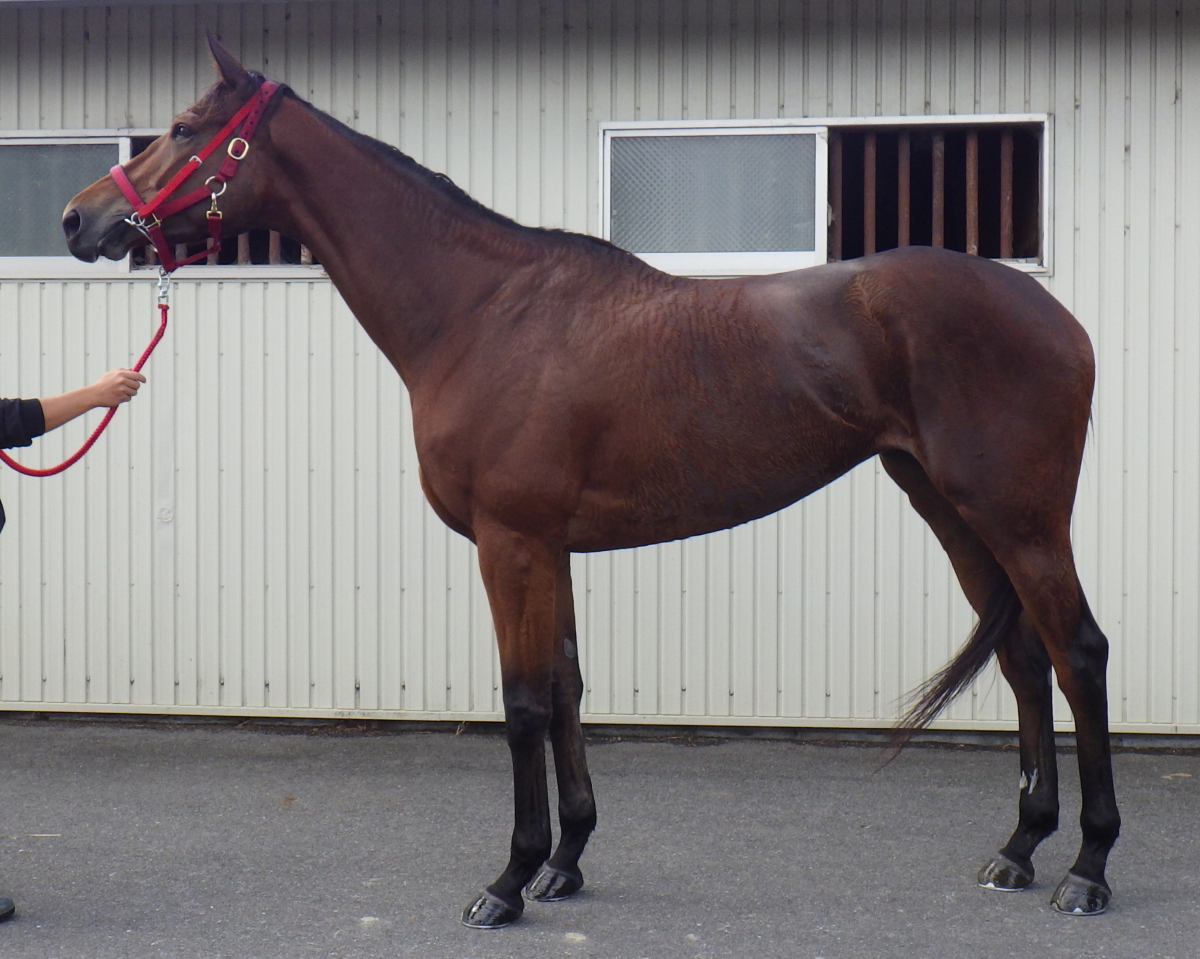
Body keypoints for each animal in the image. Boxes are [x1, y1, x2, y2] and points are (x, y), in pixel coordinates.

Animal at [62, 35, 1120, 926]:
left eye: (185, 130)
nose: (81, 218)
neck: (481, 311)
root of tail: (1057, 316)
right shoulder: (553, 546)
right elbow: (569, 684)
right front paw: (566, 861)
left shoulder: (511, 542)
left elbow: (524, 699)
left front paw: (507, 878)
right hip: (951, 508)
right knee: (1024, 658)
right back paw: (1020, 847)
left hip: (1020, 517)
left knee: (1078, 653)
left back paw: (1087, 867)